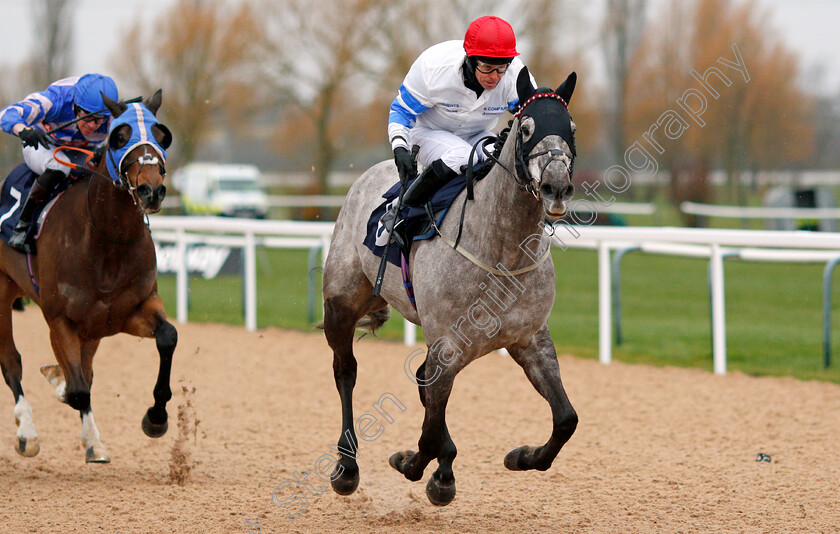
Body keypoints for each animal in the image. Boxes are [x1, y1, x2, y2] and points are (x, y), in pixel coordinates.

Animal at [0, 90, 176, 462]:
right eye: (119, 136)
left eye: (162, 135)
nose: (151, 191)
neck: (107, 241)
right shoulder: (59, 319)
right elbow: (78, 388)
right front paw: (59, 382)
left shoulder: (127, 311)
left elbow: (168, 336)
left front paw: (156, 417)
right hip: (2, 290)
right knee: (11, 361)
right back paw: (27, 432)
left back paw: (93, 441)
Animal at [324, 68, 580, 506]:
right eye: (528, 128)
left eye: (571, 129)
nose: (556, 187)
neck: (500, 250)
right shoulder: (447, 345)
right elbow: (426, 433)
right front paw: (412, 464)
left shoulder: (529, 338)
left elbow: (566, 418)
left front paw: (522, 456)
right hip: (340, 304)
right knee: (346, 372)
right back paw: (347, 466)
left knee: (423, 385)